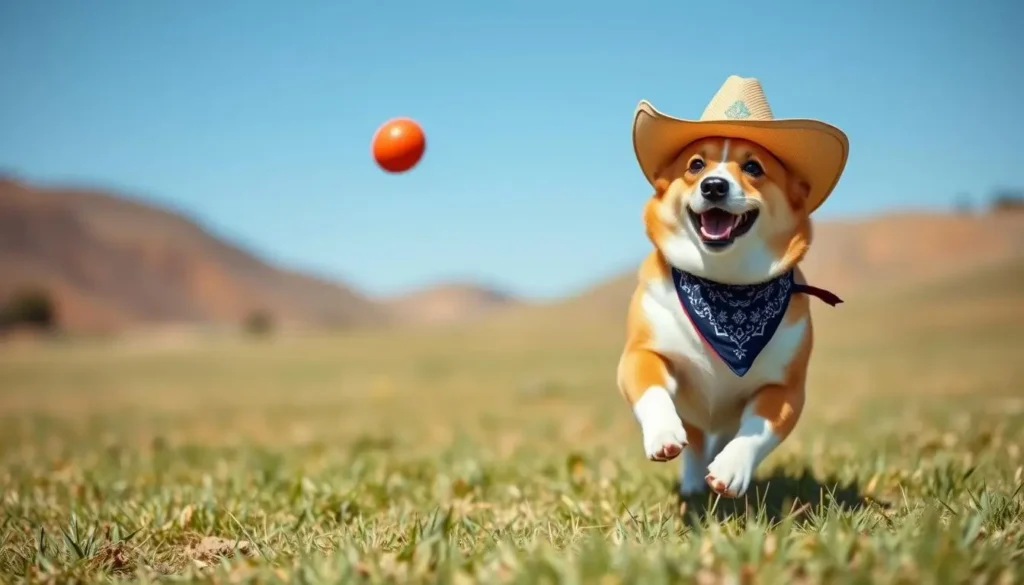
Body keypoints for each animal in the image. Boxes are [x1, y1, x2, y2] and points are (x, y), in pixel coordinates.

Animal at [614, 76, 847, 499]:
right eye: (696, 164)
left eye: (753, 166)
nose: (714, 186)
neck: (725, 284)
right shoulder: (641, 353)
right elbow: (652, 389)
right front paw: (663, 435)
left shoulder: (785, 389)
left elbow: (757, 428)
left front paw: (731, 469)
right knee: (694, 444)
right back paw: (691, 483)